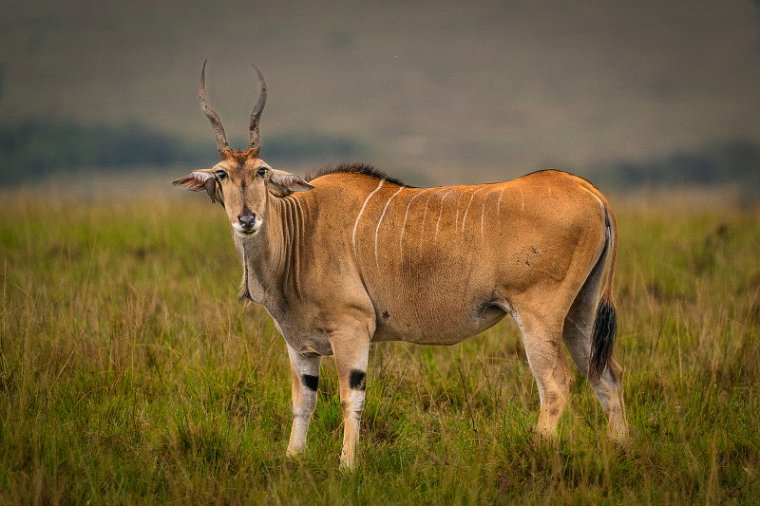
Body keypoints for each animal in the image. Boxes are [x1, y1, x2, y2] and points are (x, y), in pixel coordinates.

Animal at [174, 63, 628, 470]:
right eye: (222, 174)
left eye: (262, 171)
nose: (247, 218)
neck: (301, 228)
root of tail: (590, 192)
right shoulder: (300, 344)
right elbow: (303, 401)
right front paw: (292, 459)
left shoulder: (352, 328)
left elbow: (350, 397)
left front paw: (347, 465)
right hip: (580, 314)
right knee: (607, 376)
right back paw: (620, 451)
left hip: (539, 316)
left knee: (555, 385)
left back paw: (535, 453)